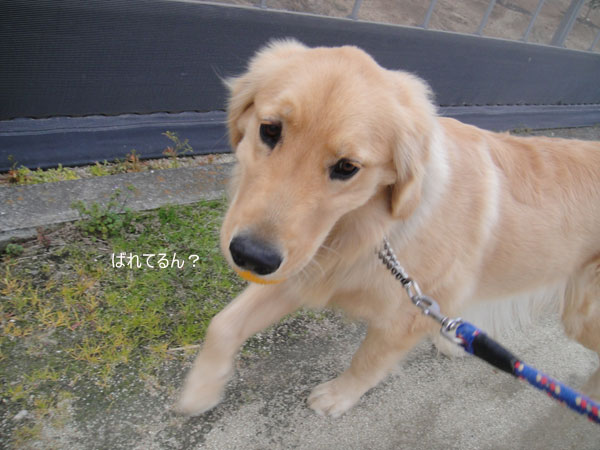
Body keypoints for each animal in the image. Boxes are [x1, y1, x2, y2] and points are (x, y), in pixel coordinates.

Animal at [177, 40, 600, 418]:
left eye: (347, 167)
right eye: (269, 130)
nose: (250, 256)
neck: (371, 226)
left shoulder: (403, 317)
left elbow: (368, 361)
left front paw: (338, 397)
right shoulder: (307, 266)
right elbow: (222, 324)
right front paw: (200, 390)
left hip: (582, 318)